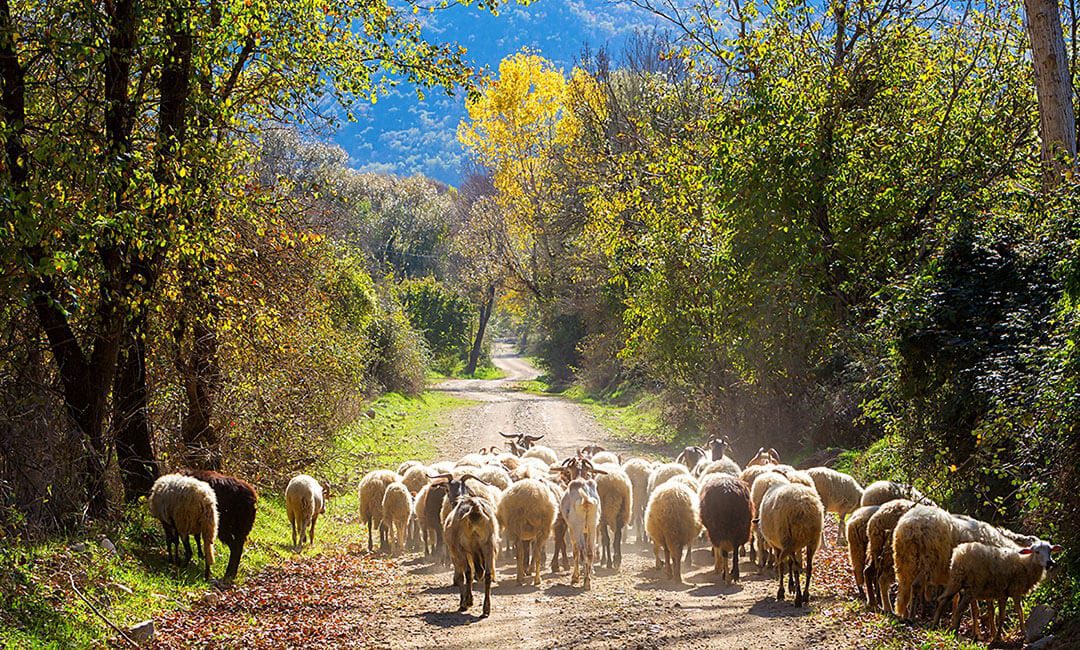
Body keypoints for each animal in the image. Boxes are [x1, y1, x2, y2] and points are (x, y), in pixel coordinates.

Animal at [440, 483, 498, 613]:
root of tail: (475, 508)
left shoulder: (455, 552)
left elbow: (462, 576)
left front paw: (465, 602)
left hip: (462, 549)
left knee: (467, 573)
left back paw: (467, 602)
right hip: (488, 545)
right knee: (487, 575)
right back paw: (486, 608)